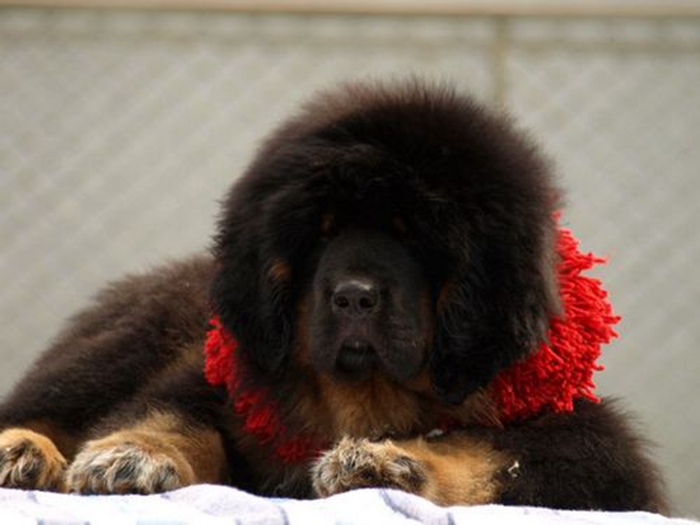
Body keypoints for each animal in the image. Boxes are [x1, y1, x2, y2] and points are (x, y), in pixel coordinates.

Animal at [0, 80, 668, 510]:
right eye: (322, 233)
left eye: (415, 237)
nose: (353, 297)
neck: (362, 397)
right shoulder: (213, 380)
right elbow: (173, 418)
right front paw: (134, 456)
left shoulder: (594, 447)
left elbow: (490, 453)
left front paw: (387, 465)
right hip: (122, 345)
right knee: (42, 405)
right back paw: (22, 449)